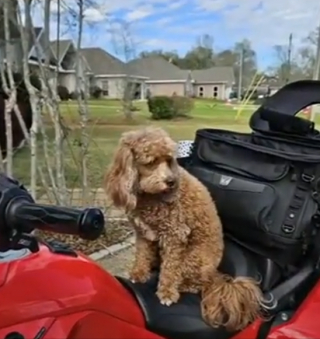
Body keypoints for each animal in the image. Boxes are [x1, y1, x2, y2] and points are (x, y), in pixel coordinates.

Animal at [104, 126, 262, 330]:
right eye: (151, 162)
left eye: (169, 160)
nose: (171, 181)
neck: (150, 196)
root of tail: (215, 275)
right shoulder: (143, 233)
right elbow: (142, 254)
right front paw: (139, 273)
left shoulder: (175, 235)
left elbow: (170, 269)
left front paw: (166, 293)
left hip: (192, 259)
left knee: (194, 283)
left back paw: (183, 286)